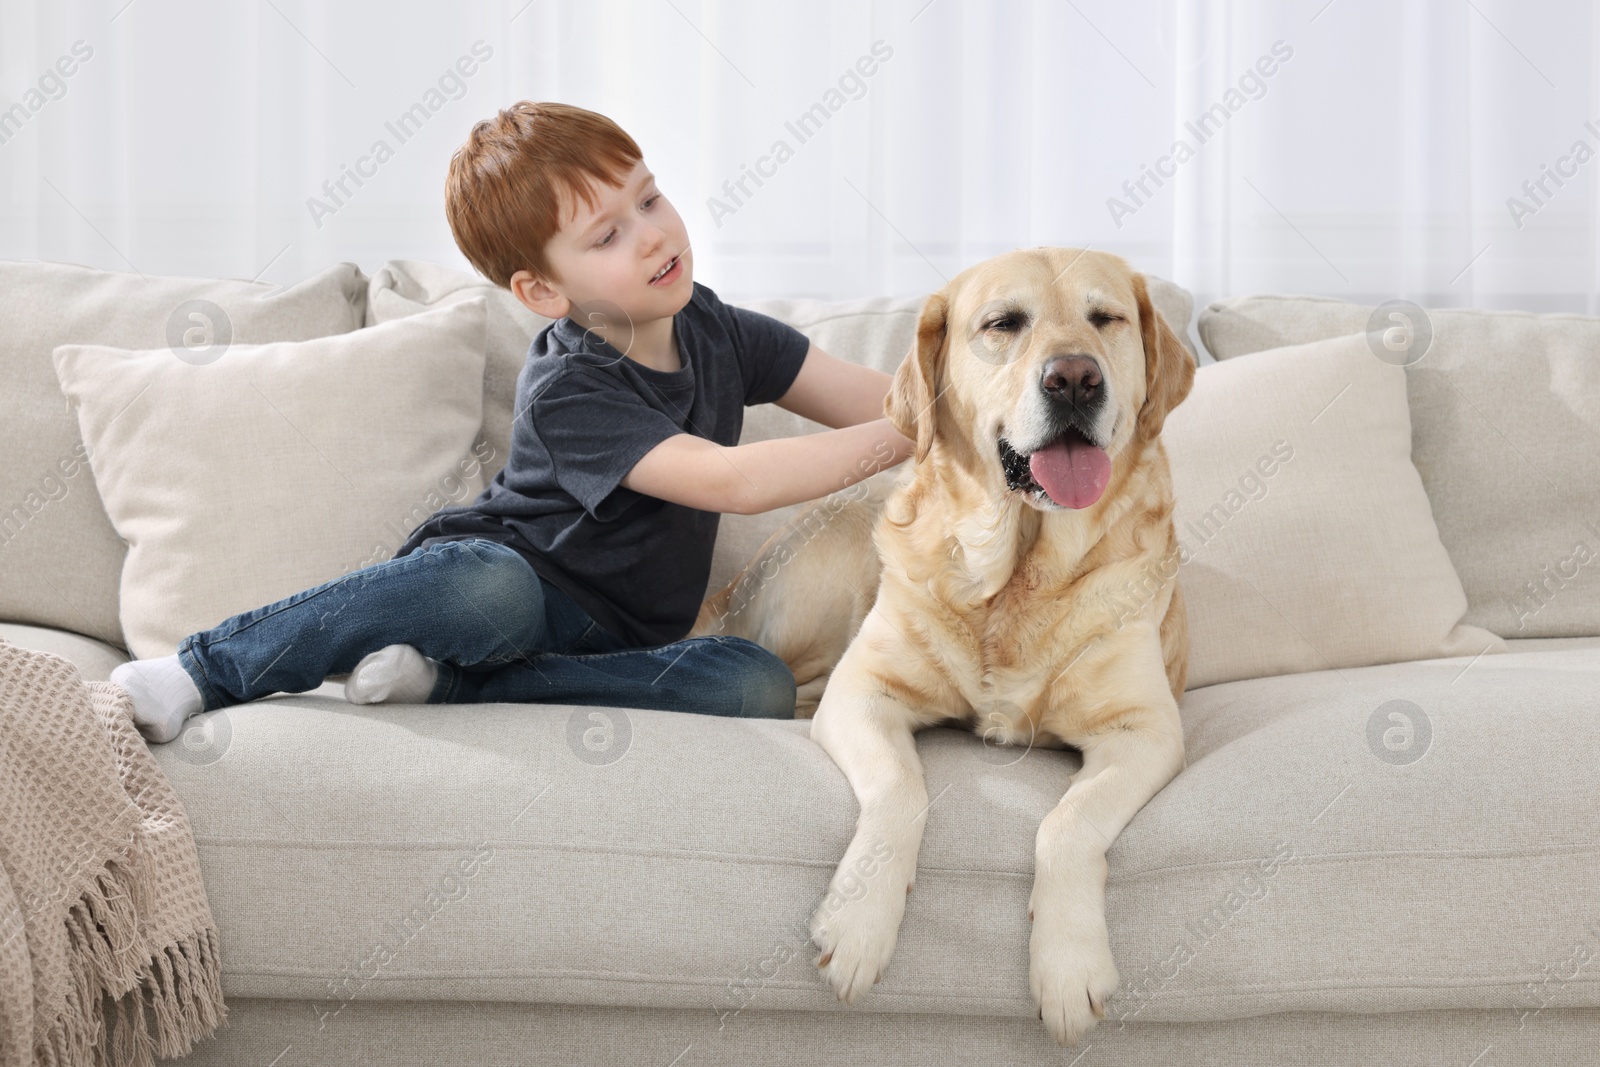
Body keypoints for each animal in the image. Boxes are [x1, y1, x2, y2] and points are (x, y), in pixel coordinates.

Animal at [694, 247, 1196, 1043]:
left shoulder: (1145, 731)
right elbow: (902, 789)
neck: (1018, 571)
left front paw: (1069, 966)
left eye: (1105, 318)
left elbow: (1069, 821)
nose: (1075, 378)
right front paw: (859, 925)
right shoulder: (863, 692)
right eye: (1003, 323)